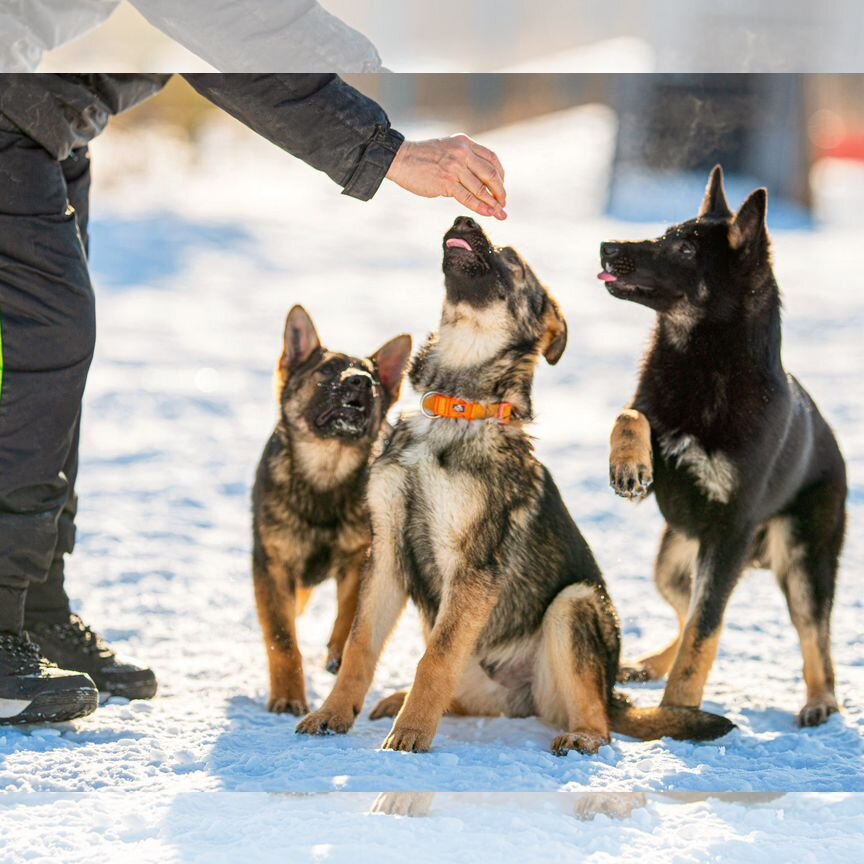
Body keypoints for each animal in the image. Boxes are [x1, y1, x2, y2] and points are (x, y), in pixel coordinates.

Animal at [251, 304, 410, 716]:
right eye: (327, 370)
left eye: (373, 379)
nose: (360, 382)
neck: (326, 472)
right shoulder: (273, 568)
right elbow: (282, 638)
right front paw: (288, 695)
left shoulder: (360, 558)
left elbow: (352, 610)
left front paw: (339, 651)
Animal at [298, 218, 736, 756]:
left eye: (512, 259)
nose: (463, 220)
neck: (453, 409)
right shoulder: (386, 555)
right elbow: (360, 645)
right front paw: (333, 715)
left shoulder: (473, 567)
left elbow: (434, 658)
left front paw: (411, 735)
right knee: (468, 699)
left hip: (575, 604)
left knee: (601, 723)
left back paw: (582, 736)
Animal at [600, 165, 844, 724]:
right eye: (666, 234)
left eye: (686, 249)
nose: (605, 246)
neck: (703, 361)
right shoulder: (656, 440)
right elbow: (631, 414)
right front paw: (628, 463)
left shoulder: (730, 531)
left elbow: (703, 633)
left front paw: (678, 709)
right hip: (672, 563)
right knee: (689, 610)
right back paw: (650, 664)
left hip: (801, 564)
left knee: (812, 636)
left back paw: (821, 699)